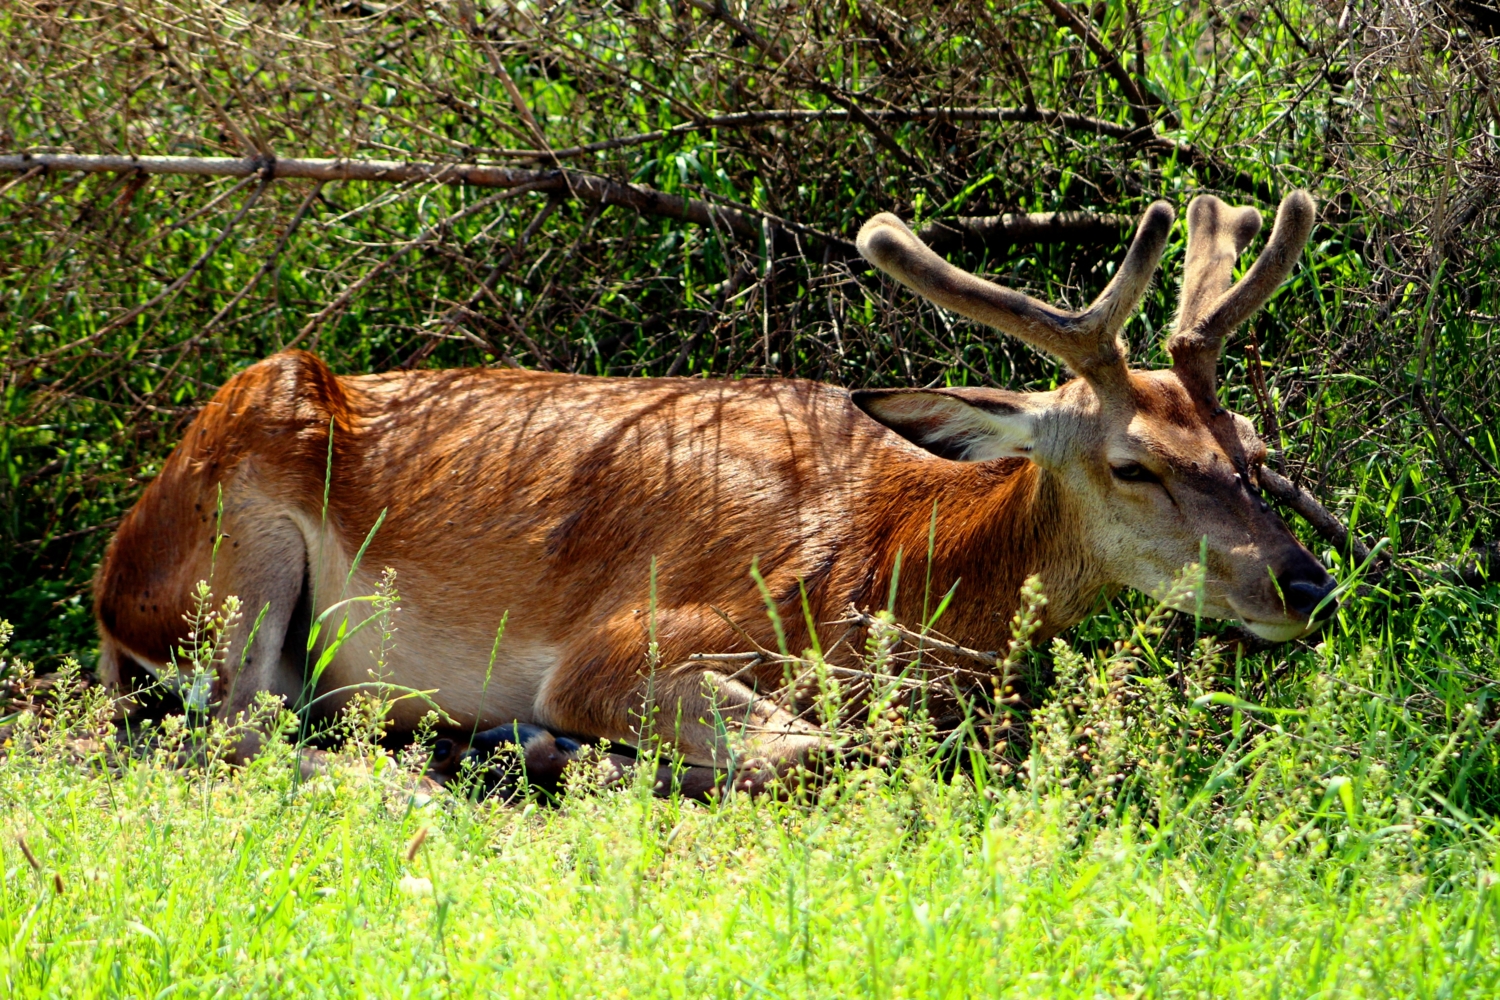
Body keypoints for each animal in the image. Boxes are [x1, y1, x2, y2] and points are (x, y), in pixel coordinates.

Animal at [96, 191, 1338, 791]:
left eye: (1252, 445)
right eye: (1134, 463)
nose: (1307, 582)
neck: (890, 565)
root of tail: (113, 584)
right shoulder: (622, 637)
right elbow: (827, 750)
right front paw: (555, 748)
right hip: (236, 542)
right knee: (236, 728)